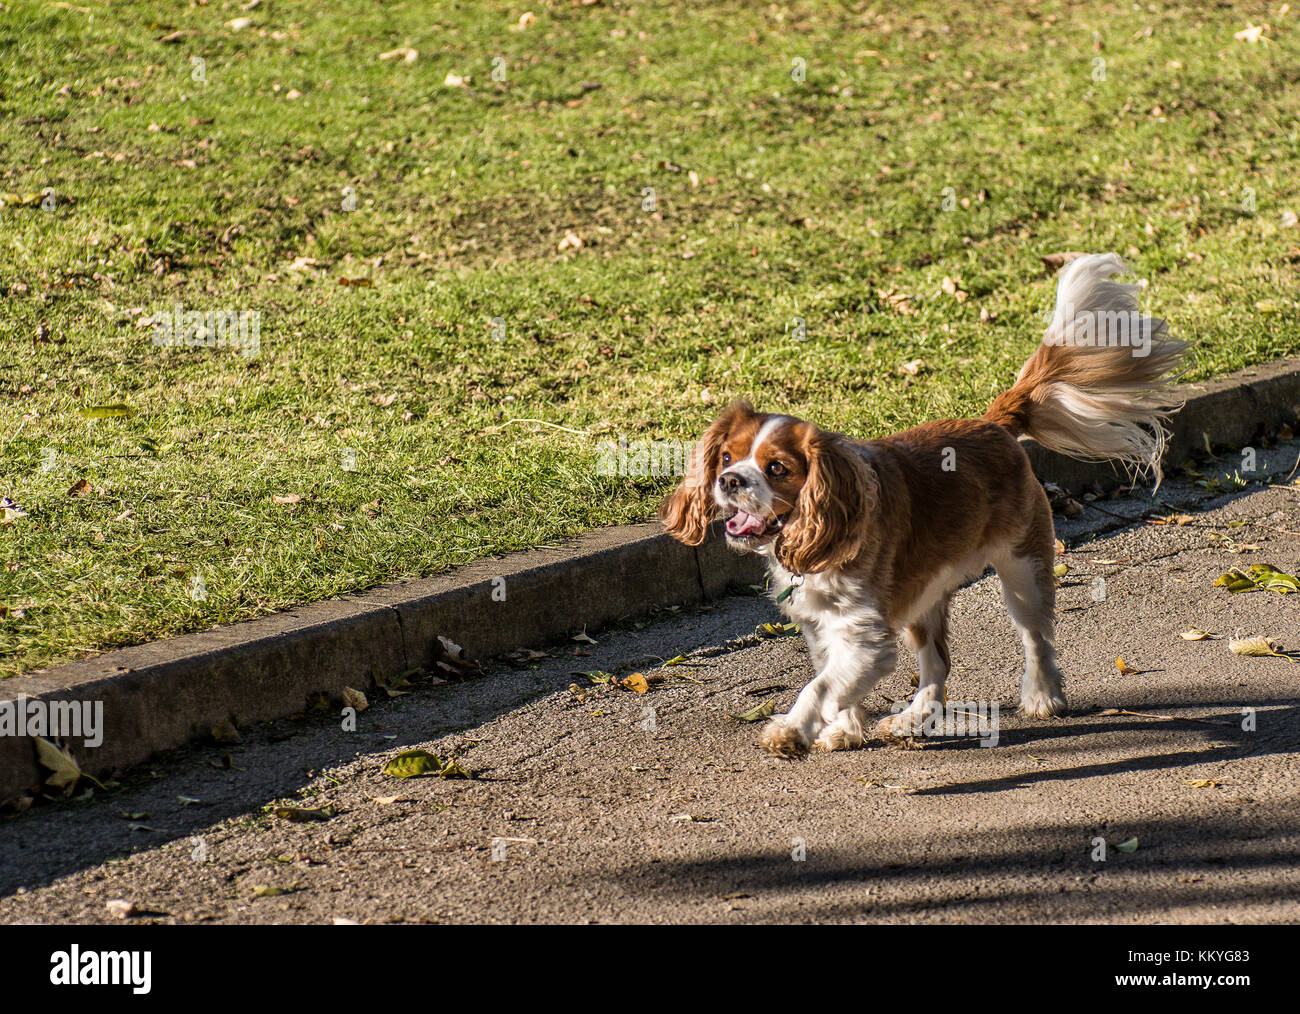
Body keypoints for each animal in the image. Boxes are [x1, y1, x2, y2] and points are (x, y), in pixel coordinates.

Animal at [660, 257, 1190, 754]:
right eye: (727, 456)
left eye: (776, 468)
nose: (729, 480)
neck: (813, 537)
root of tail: (991, 423)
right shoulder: (824, 629)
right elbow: (837, 683)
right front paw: (844, 730)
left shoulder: (866, 638)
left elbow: (819, 687)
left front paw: (792, 730)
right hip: (924, 596)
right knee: (938, 665)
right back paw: (912, 719)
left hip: (1023, 569)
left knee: (1036, 639)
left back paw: (1043, 696)